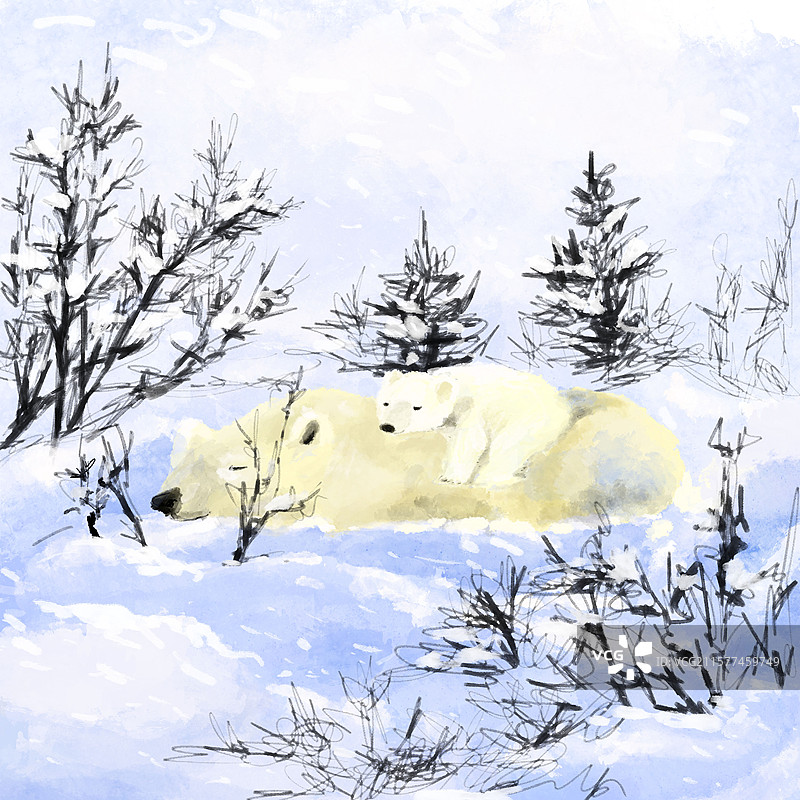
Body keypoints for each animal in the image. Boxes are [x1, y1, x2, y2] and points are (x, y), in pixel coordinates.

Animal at [376, 364, 572, 487]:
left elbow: (471, 442)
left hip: (529, 420)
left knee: (506, 447)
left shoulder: (472, 409)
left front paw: (451, 478)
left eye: (417, 407)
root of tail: (563, 406)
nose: (388, 426)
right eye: (386, 403)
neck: (456, 387)